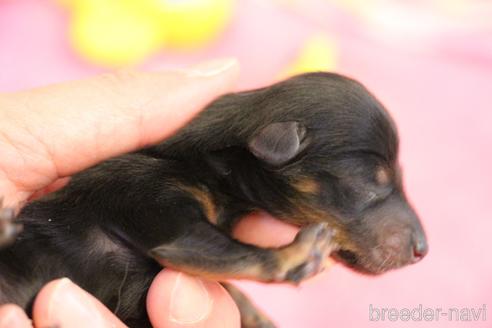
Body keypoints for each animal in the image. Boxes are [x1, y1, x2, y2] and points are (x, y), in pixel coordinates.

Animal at [0, 73, 426, 326]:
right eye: (370, 182)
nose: (423, 249)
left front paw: (255, 315)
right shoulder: (151, 197)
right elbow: (225, 250)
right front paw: (298, 253)